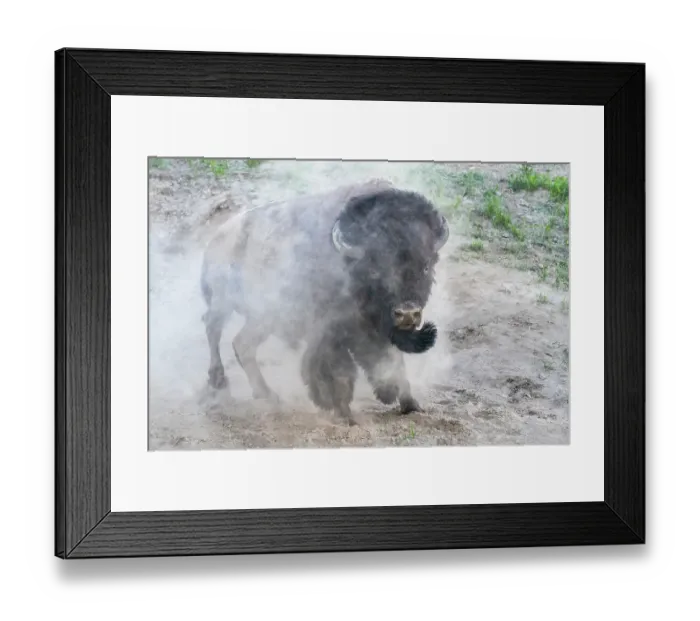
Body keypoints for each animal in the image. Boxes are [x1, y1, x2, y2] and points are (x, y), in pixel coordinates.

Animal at [199, 178, 450, 425]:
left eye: (426, 266)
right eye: (376, 270)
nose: (408, 313)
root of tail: (215, 241)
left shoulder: (378, 327)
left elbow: (392, 360)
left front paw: (410, 404)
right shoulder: (334, 330)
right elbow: (337, 370)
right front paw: (344, 414)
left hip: (261, 317)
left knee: (240, 342)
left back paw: (264, 394)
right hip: (234, 307)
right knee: (217, 331)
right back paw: (225, 383)